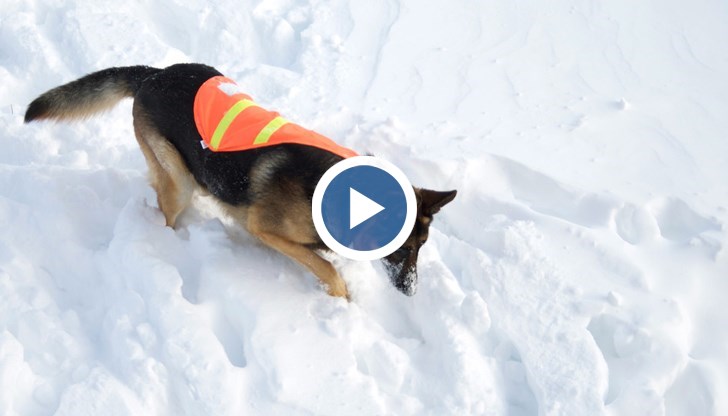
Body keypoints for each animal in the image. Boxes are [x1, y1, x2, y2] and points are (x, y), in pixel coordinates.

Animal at [24, 62, 456, 300]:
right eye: (403, 250)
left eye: (421, 249)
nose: (411, 292)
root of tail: (155, 75)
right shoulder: (266, 228)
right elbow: (328, 269)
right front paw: (341, 299)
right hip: (178, 179)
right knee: (165, 206)